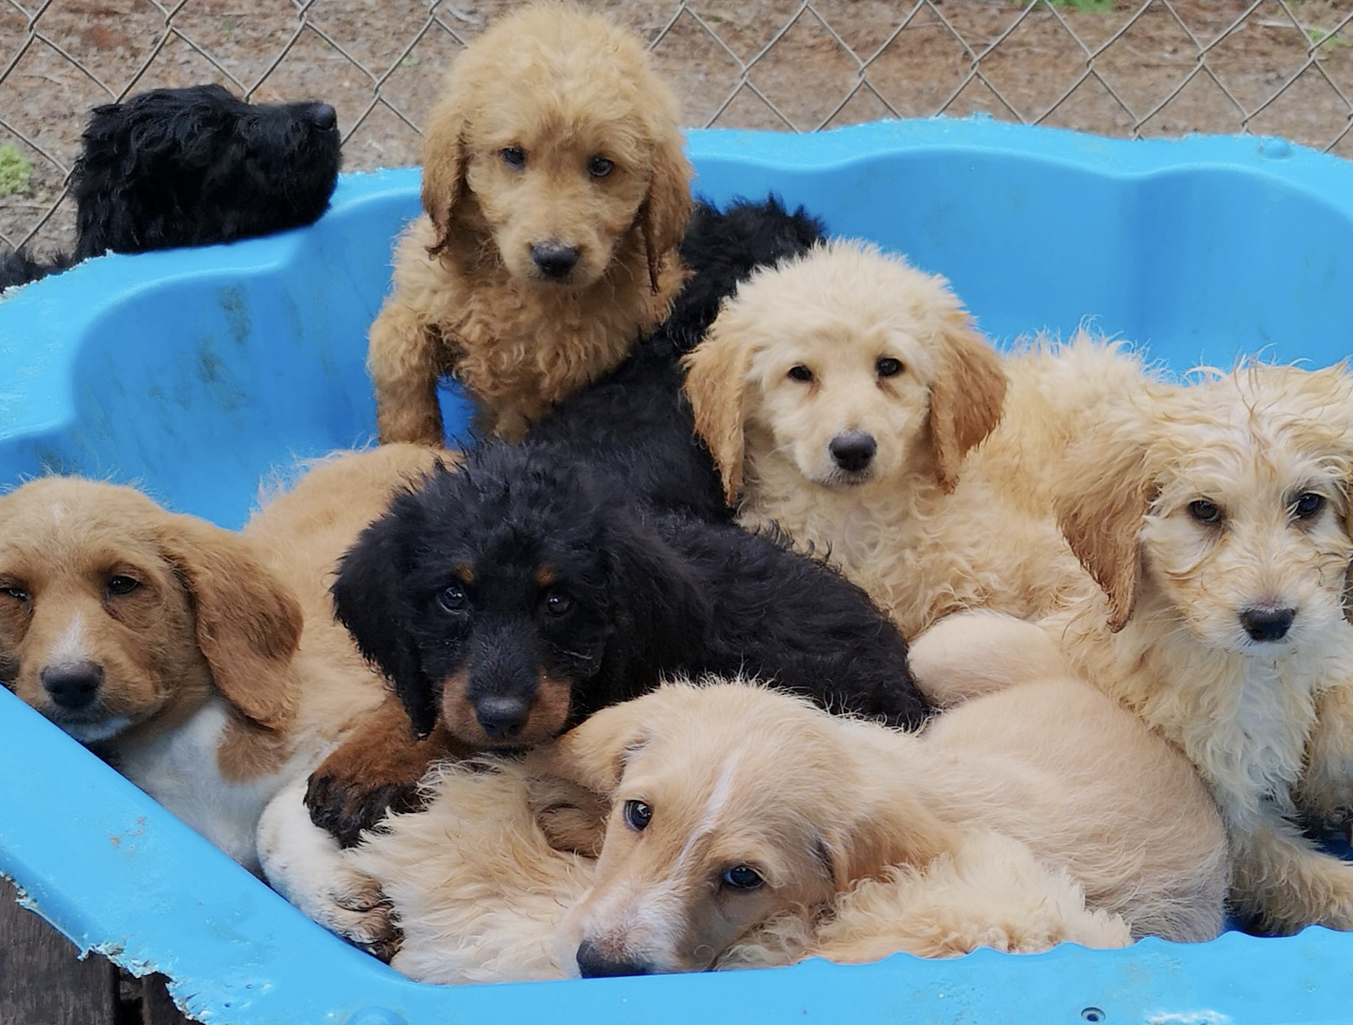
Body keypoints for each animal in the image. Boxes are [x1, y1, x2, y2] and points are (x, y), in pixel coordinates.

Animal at [301, 443, 925, 849]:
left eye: (559, 602)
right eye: (453, 596)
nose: (501, 715)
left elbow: (464, 734)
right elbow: (430, 703)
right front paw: (366, 757)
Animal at [365, 4, 692, 446]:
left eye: (601, 165)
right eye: (514, 155)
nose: (555, 258)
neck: (516, 294)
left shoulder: (539, 390)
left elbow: (511, 429)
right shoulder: (424, 289)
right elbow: (395, 346)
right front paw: (411, 435)